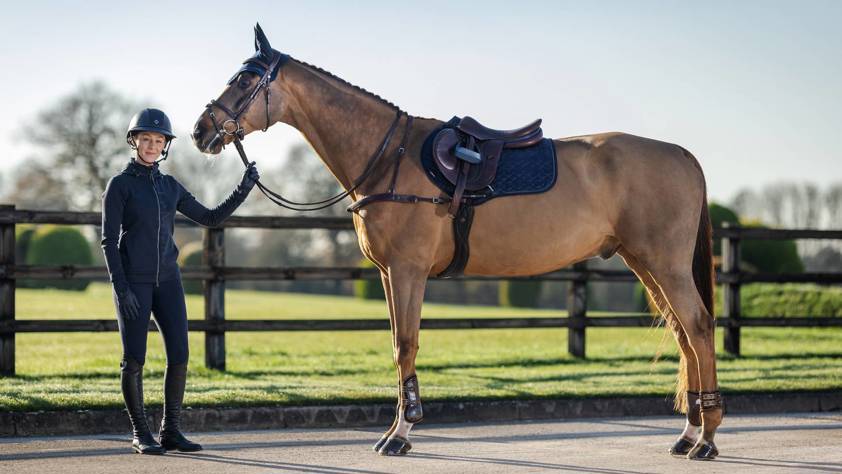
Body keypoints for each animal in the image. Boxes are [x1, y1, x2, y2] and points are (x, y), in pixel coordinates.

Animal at [192, 25, 720, 460]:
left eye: (245, 80)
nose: (201, 130)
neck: (389, 156)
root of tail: (683, 155)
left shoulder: (408, 271)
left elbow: (405, 344)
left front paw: (401, 433)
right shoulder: (389, 274)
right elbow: (396, 344)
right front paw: (398, 428)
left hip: (664, 264)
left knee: (697, 327)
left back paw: (707, 437)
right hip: (642, 262)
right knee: (683, 334)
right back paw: (689, 433)